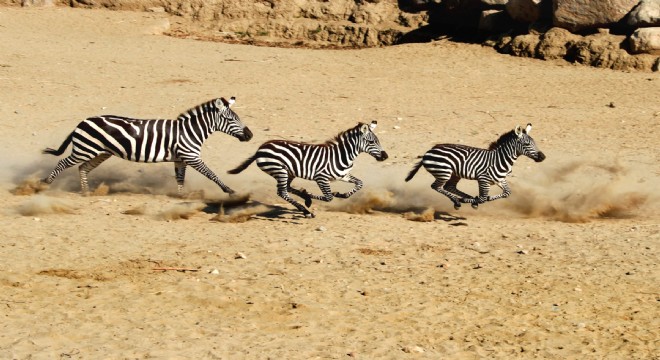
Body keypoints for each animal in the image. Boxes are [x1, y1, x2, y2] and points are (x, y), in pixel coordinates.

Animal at [42, 97, 253, 195]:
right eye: (231, 119)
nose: (250, 135)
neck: (190, 131)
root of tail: (82, 122)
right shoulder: (191, 156)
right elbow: (211, 174)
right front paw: (229, 190)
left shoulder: (180, 159)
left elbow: (180, 179)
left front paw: (181, 196)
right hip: (85, 149)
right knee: (63, 163)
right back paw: (44, 184)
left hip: (100, 152)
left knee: (83, 168)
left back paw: (86, 192)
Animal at [229, 121, 390, 218]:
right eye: (371, 142)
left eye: (378, 141)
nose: (385, 156)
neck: (342, 156)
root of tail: (261, 148)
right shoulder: (321, 178)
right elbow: (328, 197)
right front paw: (313, 198)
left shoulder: (343, 176)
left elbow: (359, 184)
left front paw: (341, 194)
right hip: (280, 170)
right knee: (282, 192)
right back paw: (306, 210)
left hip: (289, 172)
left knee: (287, 188)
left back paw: (305, 198)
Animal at [408, 123, 548, 210]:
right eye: (526, 144)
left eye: (534, 142)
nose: (543, 157)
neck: (500, 160)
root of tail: (428, 151)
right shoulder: (483, 180)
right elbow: (483, 198)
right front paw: (472, 202)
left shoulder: (500, 180)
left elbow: (506, 193)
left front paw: (475, 201)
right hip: (444, 172)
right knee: (436, 187)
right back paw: (459, 201)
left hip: (455, 174)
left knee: (449, 187)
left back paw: (464, 198)